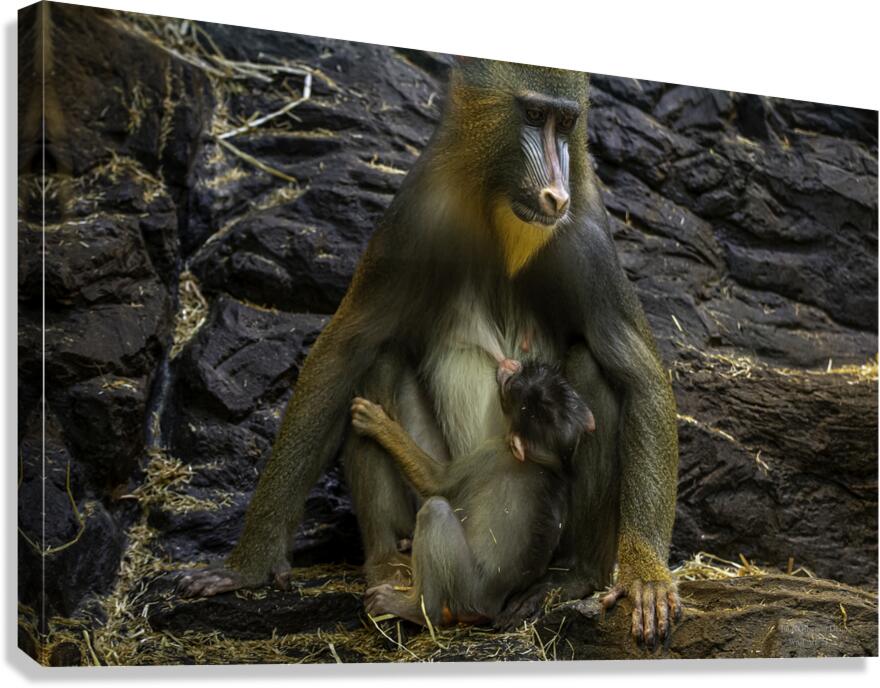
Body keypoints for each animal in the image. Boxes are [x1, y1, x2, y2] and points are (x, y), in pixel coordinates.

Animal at [349, 354, 594, 626]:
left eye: (511, 389)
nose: (511, 366)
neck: (545, 461)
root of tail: (488, 605)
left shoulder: (491, 454)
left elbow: (434, 482)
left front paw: (377, 423)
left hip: (463, 588)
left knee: (435, 510)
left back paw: (417, 610)